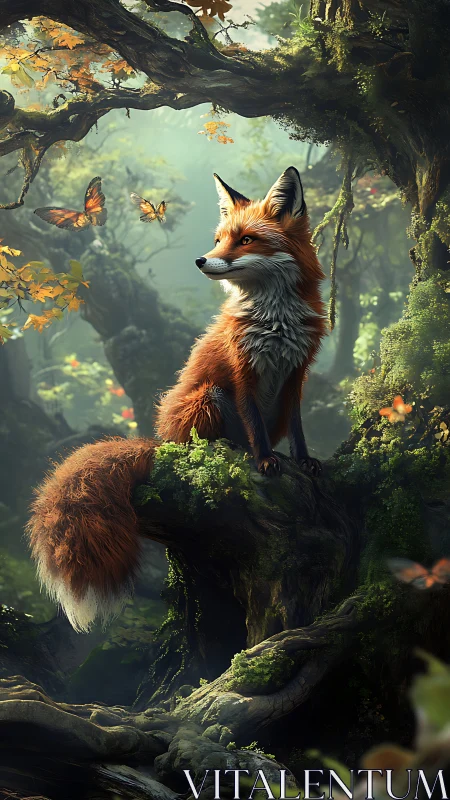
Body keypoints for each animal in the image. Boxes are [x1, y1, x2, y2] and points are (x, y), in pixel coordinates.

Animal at [28, 167, 326, 632]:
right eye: (219, 238)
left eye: (246, 240)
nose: (202, 261)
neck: (274, 320)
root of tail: (161, 441)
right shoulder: (241, 372)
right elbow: (255, 424)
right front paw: (263, 461)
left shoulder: (297, 371)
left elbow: (296, 426)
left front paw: (304, 460)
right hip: (209, 397)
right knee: (206, 444)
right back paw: (233, 452)